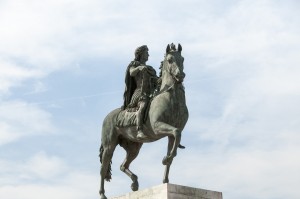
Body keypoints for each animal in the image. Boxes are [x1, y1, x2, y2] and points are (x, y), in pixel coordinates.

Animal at [99, 42, 188, 198]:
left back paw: (135, 183)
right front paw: (165, 159)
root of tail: (107, 117)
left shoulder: (171, 134)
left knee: (123, 166)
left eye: (182, 59)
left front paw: (165, 179)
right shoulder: (158, 127)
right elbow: (176, 133)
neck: (171, 98)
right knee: (103, 169)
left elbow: (174, 144)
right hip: (109, 146)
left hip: (134, 147)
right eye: (170, 59)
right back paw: (103, 194)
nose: (180, 75)